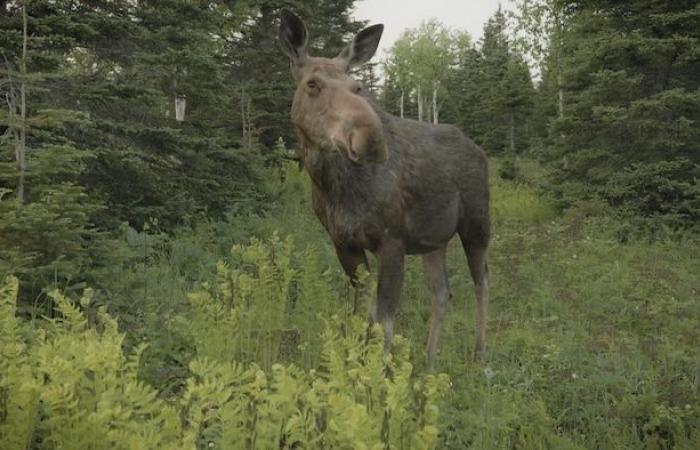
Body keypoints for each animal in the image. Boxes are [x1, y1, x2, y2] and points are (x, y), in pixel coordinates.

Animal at [276, 9, 490, 362]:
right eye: (312, 83)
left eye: (357, 85)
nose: (370, 139)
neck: (331, 187)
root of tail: (478, 149)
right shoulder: (344, 244)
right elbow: (361, 313)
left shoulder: (392, 241)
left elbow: (383, 321)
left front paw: (380, 372)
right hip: (434, 240)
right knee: (442, 291)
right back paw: (429, 358)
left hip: (477, 225)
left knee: (482, 280)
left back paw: (479, 354)